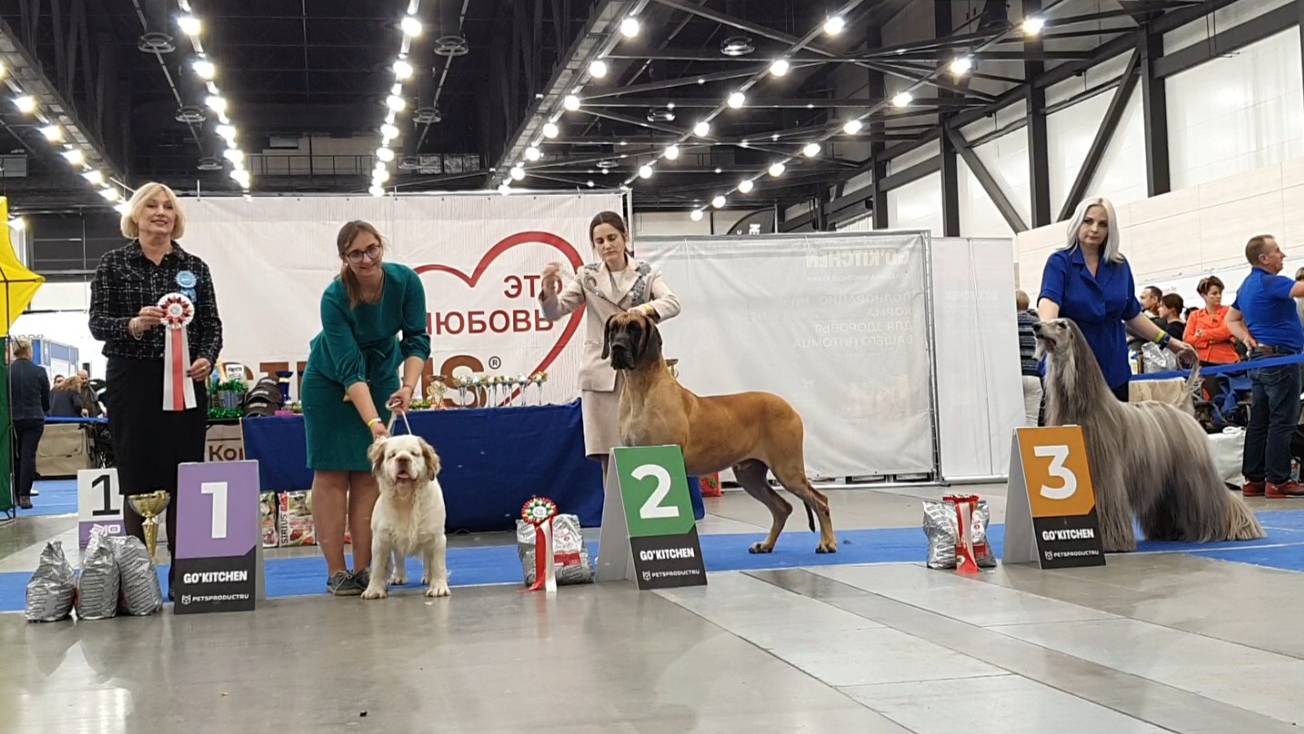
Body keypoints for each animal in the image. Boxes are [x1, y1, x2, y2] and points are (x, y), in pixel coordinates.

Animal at [362, 432, 453, 599]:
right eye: (392, 455)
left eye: (414, 454)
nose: (403, 459)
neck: (405, 498)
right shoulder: (381, 538)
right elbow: (378, 566)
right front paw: (374, 590)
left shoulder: (436, 537)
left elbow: (437, 564)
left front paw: (438, 587)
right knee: (398, 557)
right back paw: (398, 577)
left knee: (427, 559)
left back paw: (428, 577)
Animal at [599, 308, 834, 552]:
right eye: (613, 329)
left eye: (634, 329)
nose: (617, 347)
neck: (640, 389)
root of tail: (790, 408)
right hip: (750, 476)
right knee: (782, 507)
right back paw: (766, 545)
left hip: (787, 469)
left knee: (820, 500)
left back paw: (827, 543)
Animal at [1027, 316, 1262, 552]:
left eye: (1061, 325)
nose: (1036, 326)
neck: (1084, 407)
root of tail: (1177, 406)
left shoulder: (1105, 474)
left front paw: (1110, 541)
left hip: (1195, 473)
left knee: (1215, 499)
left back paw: (1241, 527)